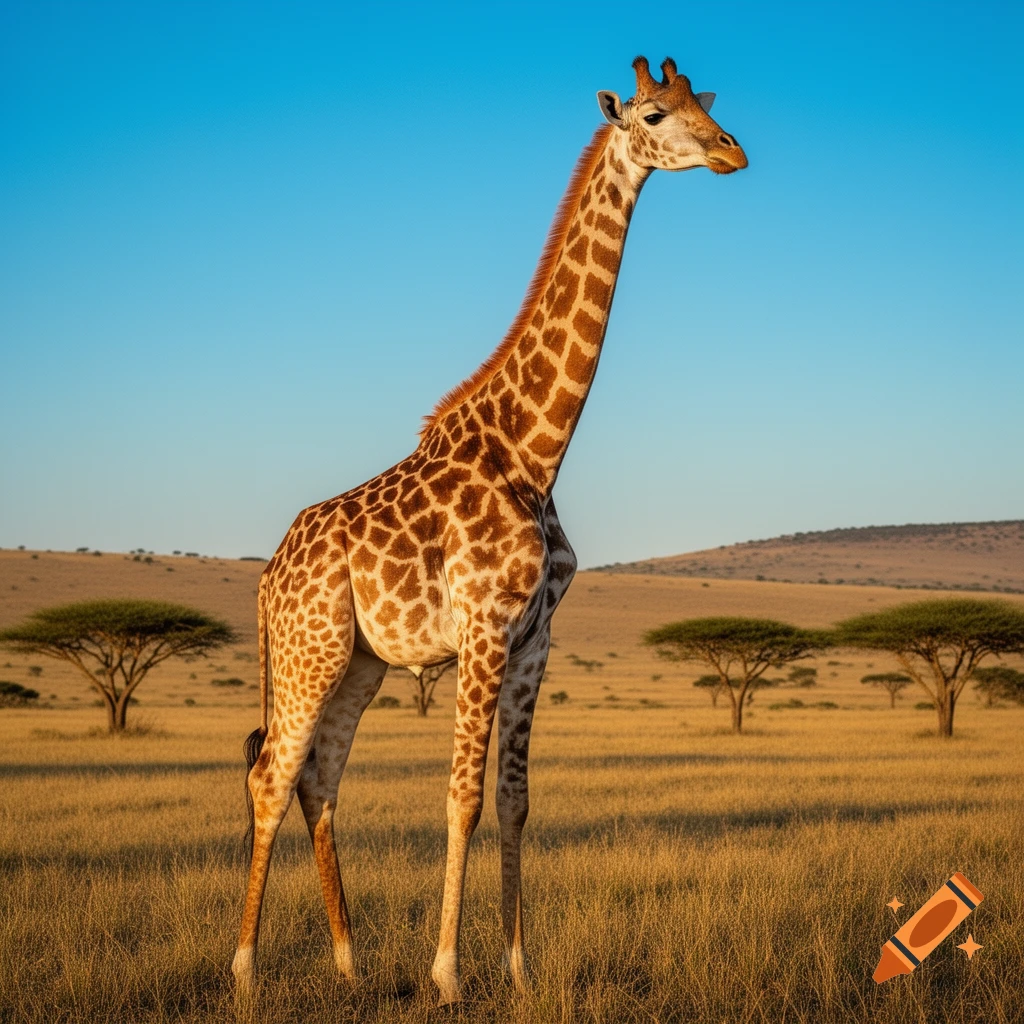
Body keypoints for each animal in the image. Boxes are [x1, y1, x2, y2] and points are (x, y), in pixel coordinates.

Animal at [232, 55, 747, 1005]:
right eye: (657, 114)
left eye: (705, 104)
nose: (733, 151)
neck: (535, 453)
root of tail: (269, 573)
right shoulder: (482, 625)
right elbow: (461, 799)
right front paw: (448, 974)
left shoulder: (535, 637)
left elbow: (514, 801)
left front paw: (517, 967)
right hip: (309, 646)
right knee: (271, 776)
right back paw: (246, 968)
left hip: (359, 661)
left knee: (320, 778)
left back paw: (350, 961)